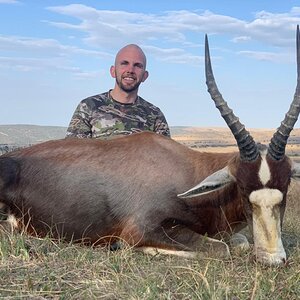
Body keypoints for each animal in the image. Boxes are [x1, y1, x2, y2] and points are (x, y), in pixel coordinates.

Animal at [0, 28, 300, 266]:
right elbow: (221, 248)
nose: (273, 259)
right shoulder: (144, 229)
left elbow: (238, 242)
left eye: (285, 186)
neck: (183, 170)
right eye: (242, 188)